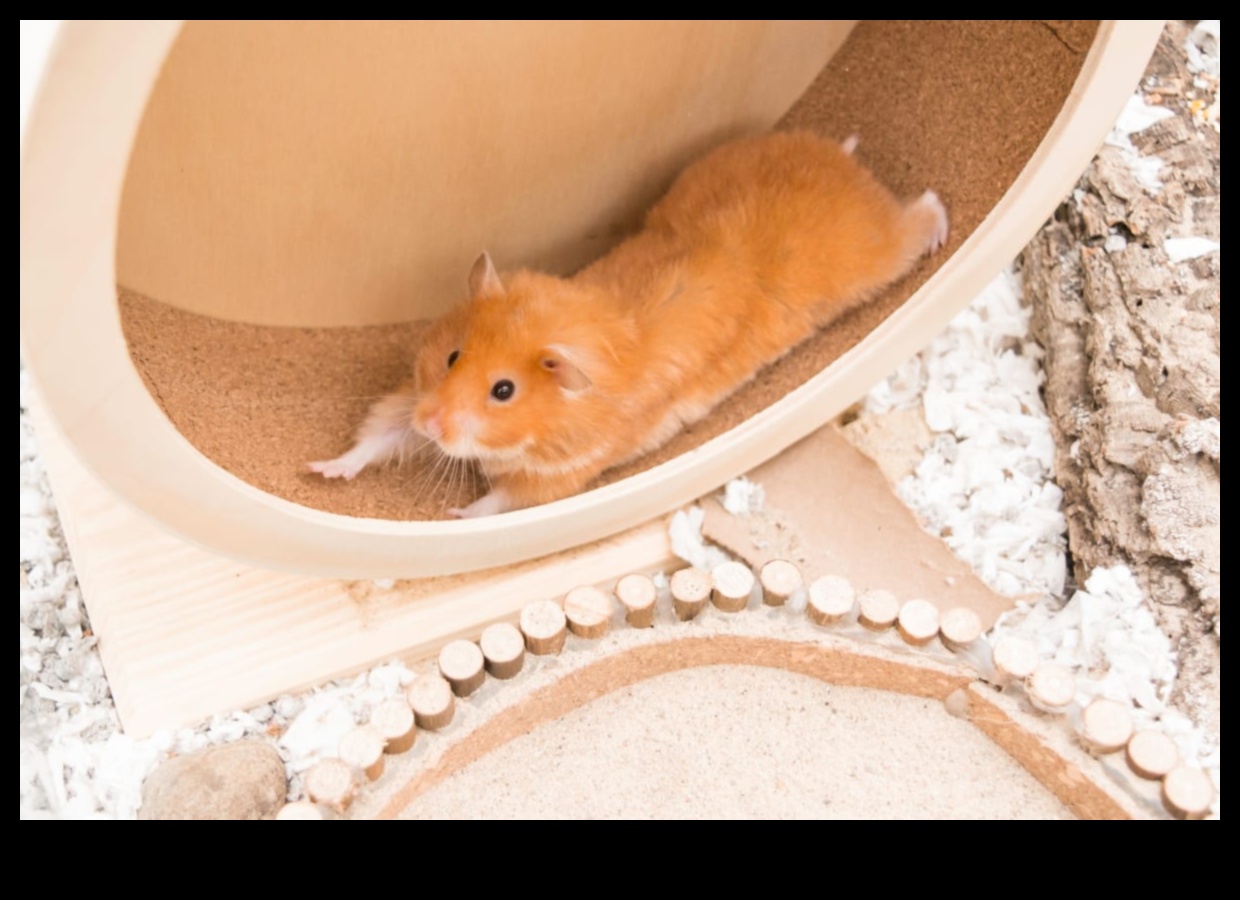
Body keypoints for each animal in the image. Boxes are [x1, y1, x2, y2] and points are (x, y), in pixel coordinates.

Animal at [308, 130, 948, 517]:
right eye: (452, 357)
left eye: (504, 391)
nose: (433, 422)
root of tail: (843, 164)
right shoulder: (412, 400)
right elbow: (377, 436)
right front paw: (321, 471)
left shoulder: (560, 476)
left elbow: (502, 498)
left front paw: (456, 513)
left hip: (878, 257)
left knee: (920, 213)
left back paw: (940, 223)